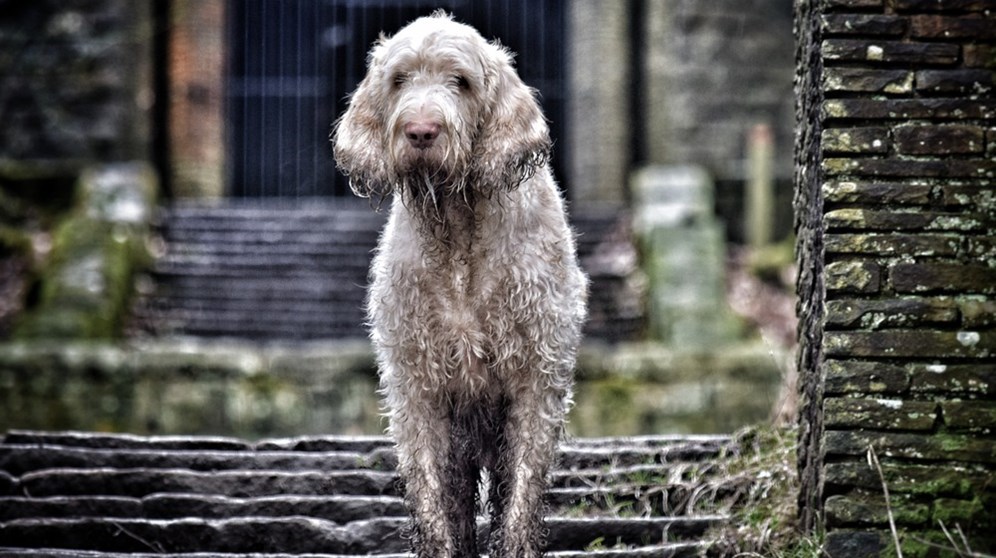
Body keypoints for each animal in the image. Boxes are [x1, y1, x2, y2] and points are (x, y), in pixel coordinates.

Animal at [330, 13, 588, 558]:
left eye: (461, 82)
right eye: (400, 79)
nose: (421, 131)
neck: (458, 230)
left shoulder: (536, 378)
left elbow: (523, 490)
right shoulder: (417, 385)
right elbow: (430, 496)